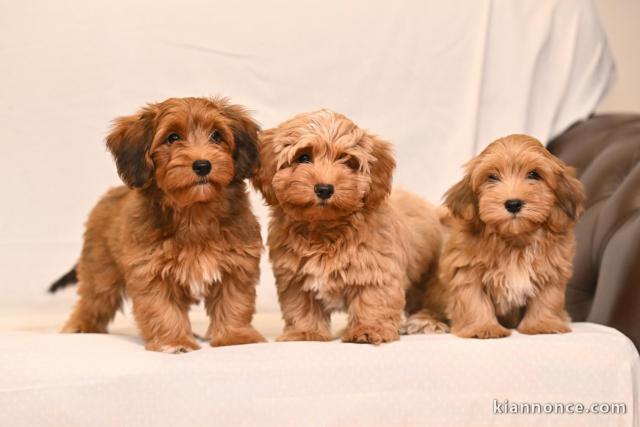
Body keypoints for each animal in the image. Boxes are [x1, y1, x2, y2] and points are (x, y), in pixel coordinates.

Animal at [49, 98, 264, 354]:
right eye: (172, 138)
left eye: (217, 136)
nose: (203, 165)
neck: (194, 213)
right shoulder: (151, 272)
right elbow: (163, 311)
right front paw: (175, 342)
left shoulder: (237, 266)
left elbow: (234, 303)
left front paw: (236, 337)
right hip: (100, 269)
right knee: (93, 299)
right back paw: (80, 325)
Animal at [252, 109, 442, 344]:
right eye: (303, 157)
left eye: (348, 161)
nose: (324, 189)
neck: (324, 230)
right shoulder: (294, 277)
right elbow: (301, 306)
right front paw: (305, 333)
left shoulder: (377, 270)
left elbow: (373, 301)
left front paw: (369, 330)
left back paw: (425, 322)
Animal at [404, 135, 584, 340]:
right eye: (492, 177)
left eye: (534, 175)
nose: (513, 204)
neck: (514, 239)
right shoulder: (466, 269)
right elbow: (473, 300)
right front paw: (482, 328)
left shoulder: (552, 269)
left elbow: (547, 298)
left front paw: (543, 324)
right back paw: (426, 321)